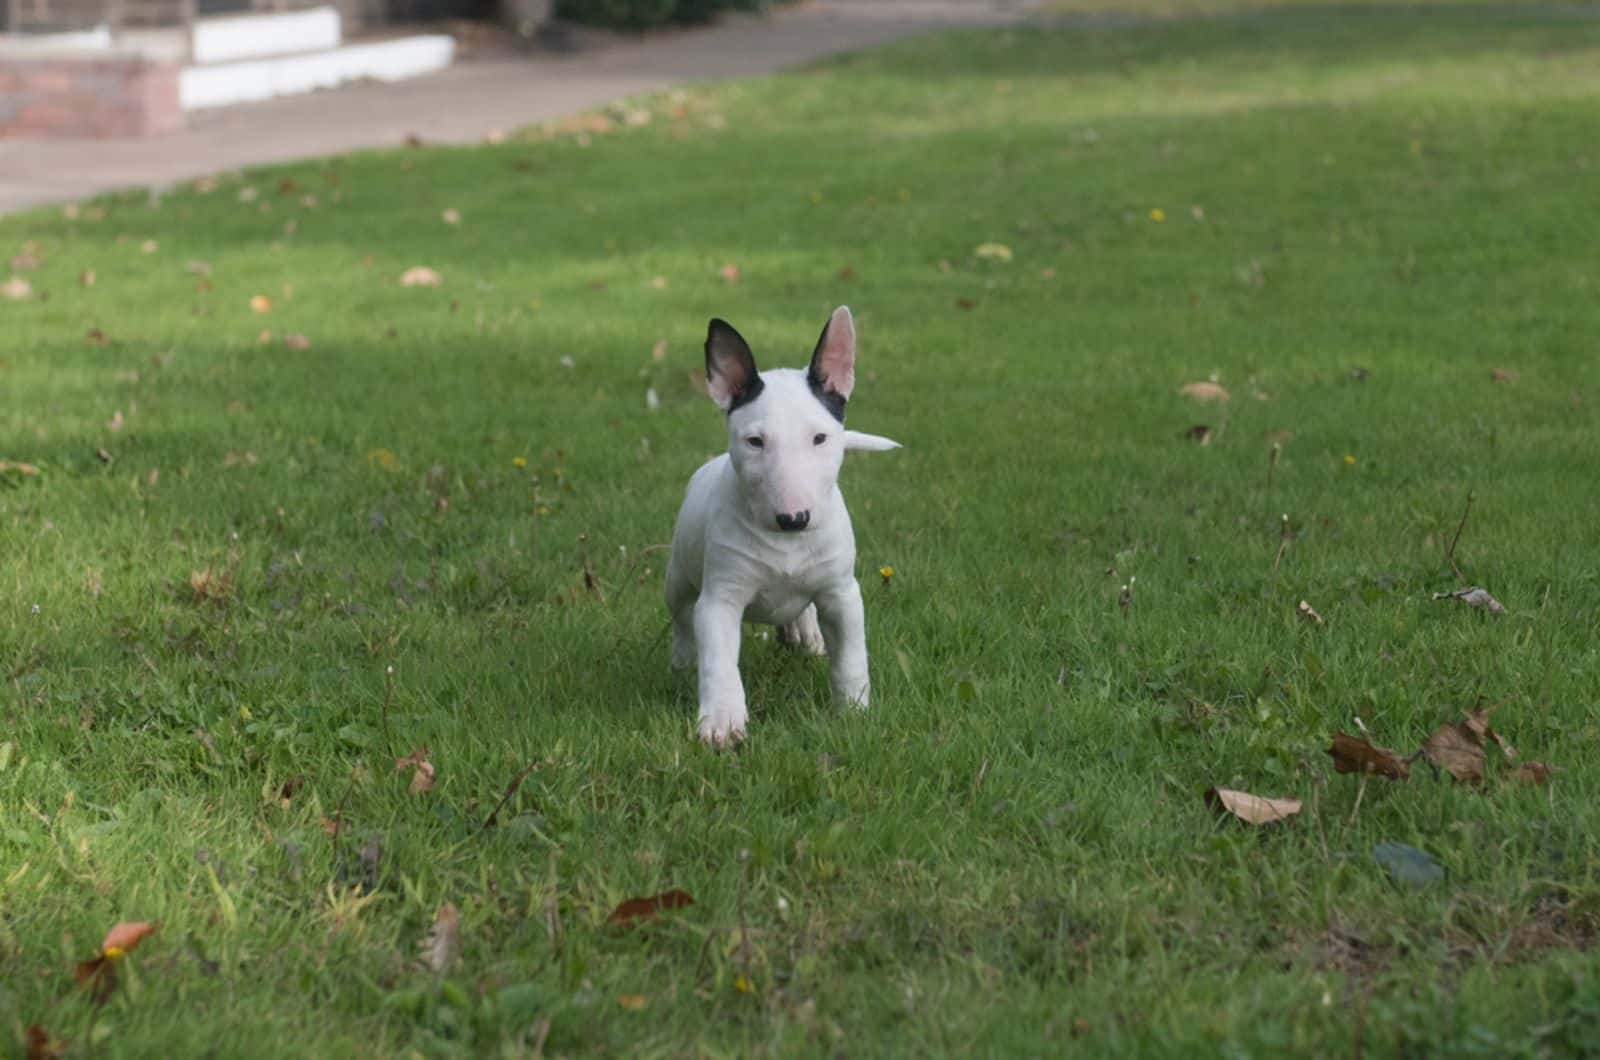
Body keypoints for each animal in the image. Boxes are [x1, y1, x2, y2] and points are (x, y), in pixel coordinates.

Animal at [662, 307, 902, 746]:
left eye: (820, 438)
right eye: (754, 441)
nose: (794, 519)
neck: (785, 545)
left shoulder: (842, 592)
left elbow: (851, 656)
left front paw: (855, 712)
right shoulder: (720, 597)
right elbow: (719, 662)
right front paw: (722, 722)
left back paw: (807, 634)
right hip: (677, 577)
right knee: (682, 619)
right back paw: (683, 661)